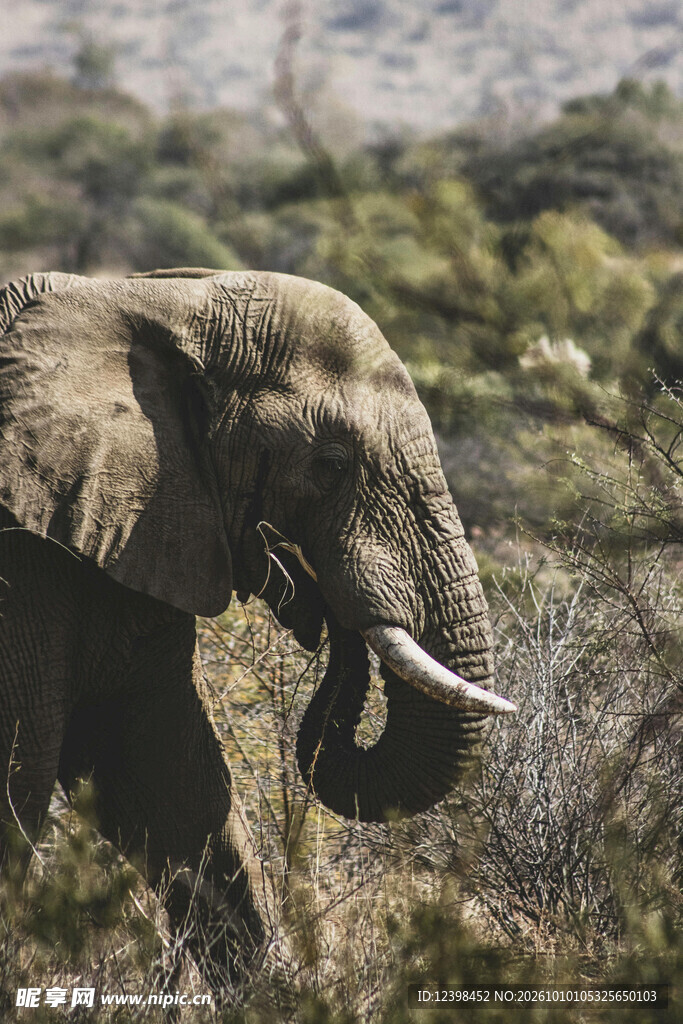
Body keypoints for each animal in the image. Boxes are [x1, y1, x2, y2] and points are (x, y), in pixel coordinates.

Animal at [0, 267, 514, 992]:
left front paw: (273, 999)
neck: (146, 299)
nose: (319, 597)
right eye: (330, 466)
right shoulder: (22, 564)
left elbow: (172, 779)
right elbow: (22, 778)